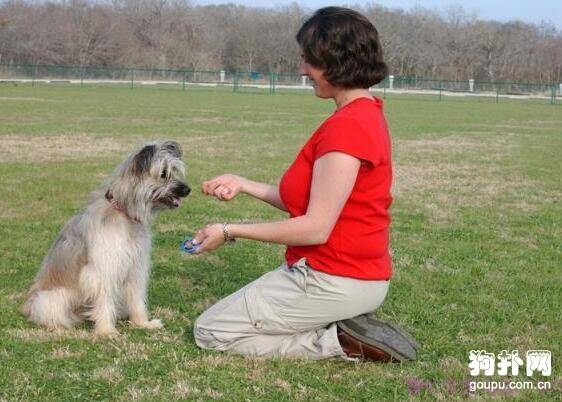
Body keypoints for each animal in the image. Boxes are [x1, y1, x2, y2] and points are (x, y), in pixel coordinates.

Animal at [21, 141, 189, 336]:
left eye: (174, 170)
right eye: (163, 174)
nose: (188, 190)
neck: (123, 212)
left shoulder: (135, 267)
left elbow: (136, 298)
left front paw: (142, 323)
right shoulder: (102, 270)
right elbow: (104, 301)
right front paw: (106, 331)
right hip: (50, 299)